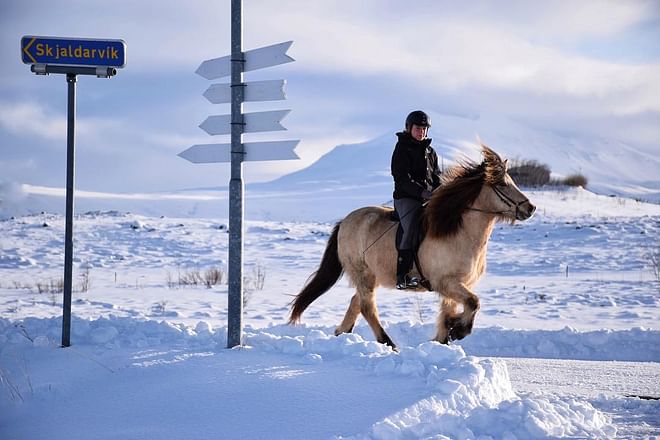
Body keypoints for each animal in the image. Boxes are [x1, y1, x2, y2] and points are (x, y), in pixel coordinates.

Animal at [288, 144, 536, 350]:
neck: (459, 231)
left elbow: (449, 314)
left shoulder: (457, 285)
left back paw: (342, 333)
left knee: (356, 303)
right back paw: (388, 344)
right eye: (501, 184)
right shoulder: (446, 283)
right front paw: (459, 330)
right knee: (368, 308)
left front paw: (446, 336)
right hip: (363, 273)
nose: (530, 208)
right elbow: (473, 303)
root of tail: (345, 221)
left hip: (372, 276)